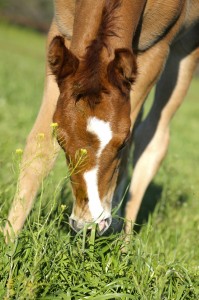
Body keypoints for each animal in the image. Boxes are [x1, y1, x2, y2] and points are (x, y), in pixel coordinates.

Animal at [3, 0, 199, 239]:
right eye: (61, 141)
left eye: (121, 144)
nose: (88, 225)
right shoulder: (61, 31)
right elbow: (40, 147)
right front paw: (9, 241)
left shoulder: (156, 51)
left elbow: (130, 148)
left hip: (187, 48)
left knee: (153, 138)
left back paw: (123, 242)